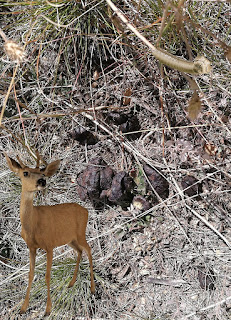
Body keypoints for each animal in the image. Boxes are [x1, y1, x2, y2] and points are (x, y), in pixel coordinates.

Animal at [4, 152, 95, 316]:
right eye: (25, 173)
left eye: (42, 173)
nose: (42, 181)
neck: (32, 225)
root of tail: (86, 210)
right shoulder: (31, 247)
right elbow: (30, 274)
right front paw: (23, 308)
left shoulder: (49, 245)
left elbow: (47, 275)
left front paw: (47, 310)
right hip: (70, 239)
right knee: (80, 251)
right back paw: (71, 283)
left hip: (80, 233)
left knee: (89, 249)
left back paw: (92, 289)